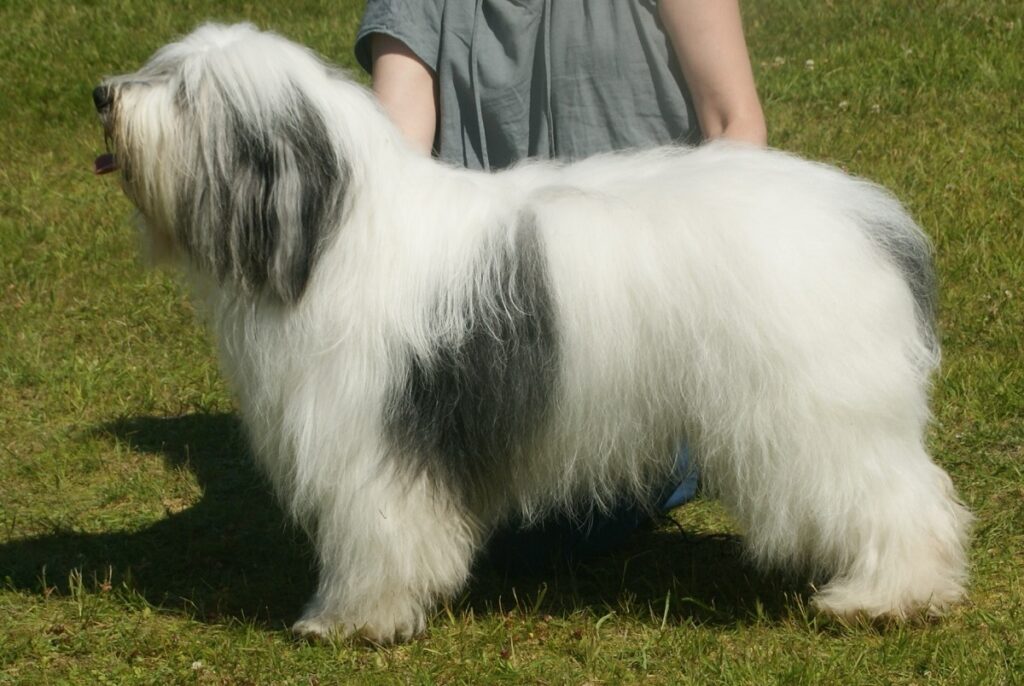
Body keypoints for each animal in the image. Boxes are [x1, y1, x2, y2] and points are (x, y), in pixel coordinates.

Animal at [92, 22, 970, 647]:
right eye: (161, 68)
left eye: (183, 92)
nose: (101, 93)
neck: (328, 233)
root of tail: (871, 219)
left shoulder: (374, 437)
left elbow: (378, 529)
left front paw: (350, 621)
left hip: (815, 410)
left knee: (899, 497)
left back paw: (885, 597)